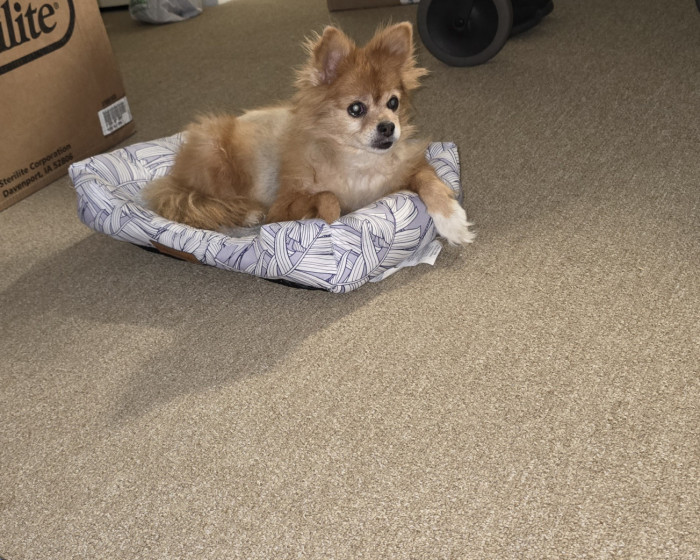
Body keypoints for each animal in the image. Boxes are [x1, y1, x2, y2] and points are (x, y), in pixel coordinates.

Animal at [142, 22, 475, 246]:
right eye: (356, 109)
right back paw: (247, 213)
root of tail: (175, 174)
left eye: (393, 103)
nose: (388, 126)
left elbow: (429, 180)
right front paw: (323, 222)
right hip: (217, 159)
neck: (355, 160)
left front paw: (452, 221)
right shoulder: (283, 204)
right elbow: (328, 198)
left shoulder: (403, 172)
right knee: (199, 205)